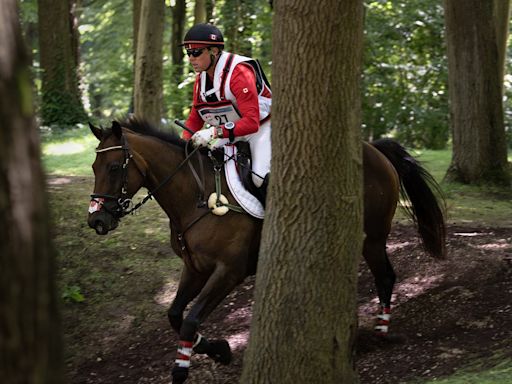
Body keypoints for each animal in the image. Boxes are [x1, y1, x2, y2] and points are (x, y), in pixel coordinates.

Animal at [87, 118, 444, 382]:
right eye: (92, 167)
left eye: (115, 167)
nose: (97, 220)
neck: (194, 198)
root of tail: (376, 150)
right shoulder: (195, 268)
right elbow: (175, 315)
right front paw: (218, 349)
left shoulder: (229, 271)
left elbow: (190, 320)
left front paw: (184, 367)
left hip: (372, 237)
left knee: (386, 276)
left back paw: (380, 333)